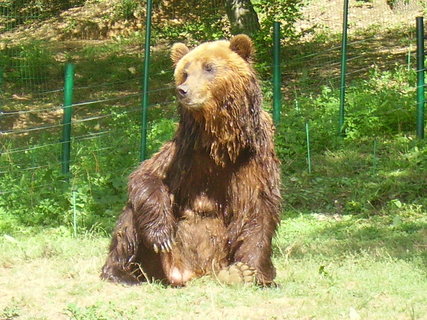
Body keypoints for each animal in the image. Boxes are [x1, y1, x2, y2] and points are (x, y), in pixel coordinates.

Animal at [101, 35, 282, 288]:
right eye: (185, 72)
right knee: (128, 220)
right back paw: (122, 273)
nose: (183, 90)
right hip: (158, 262)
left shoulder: (255, 155)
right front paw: (162, 235)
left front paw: (248, 271)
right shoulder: (184, 150)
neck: (220, 142)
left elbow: (258, 210)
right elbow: (147, 176)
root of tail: (195, 273)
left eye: (209, 68)